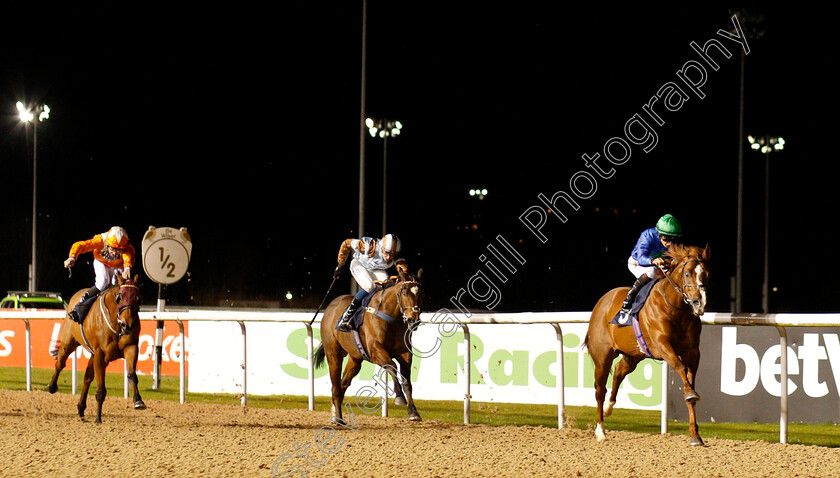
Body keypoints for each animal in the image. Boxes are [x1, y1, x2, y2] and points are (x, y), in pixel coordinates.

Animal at [46, 274, 145, 424]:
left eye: (138, 299)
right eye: (119, 297)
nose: (127, 325)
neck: (116, 325)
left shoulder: (131, 347)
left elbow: (131, 375)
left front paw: (138, 401)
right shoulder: (100, 354)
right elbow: (101, 389)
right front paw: (98, 418)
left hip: (93, 354)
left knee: (87, 378)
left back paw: (81, 407)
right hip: (68, 343)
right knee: (60, 363)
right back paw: (52, 386)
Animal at [314, 268, 424, 422]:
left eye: (421, 294)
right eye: (404, 293)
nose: (413, 320)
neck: (390, 316)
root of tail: (330, 307)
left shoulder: (404, 352)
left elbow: (406, 381)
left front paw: (413, 412)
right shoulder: (375, 351)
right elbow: (392, 366)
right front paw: (399, 397)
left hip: (355, 359)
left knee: (343, 384)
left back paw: (336, 415)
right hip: (333, 353)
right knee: (335, 386)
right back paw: (339, 419)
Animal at [588, 245, 712, 446]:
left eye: (707, 274)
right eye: (687, 274)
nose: (699, 303)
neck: (675, 309)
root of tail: (602, 302)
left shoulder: (693, 352)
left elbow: (689, 378)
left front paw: (695, 435)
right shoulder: (662, 345)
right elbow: (680, 368)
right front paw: (689, 393)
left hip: (633, 355)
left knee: (619, 372)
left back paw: (608, 407)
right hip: (602, 356)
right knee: (600, 389)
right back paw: (600, 430)